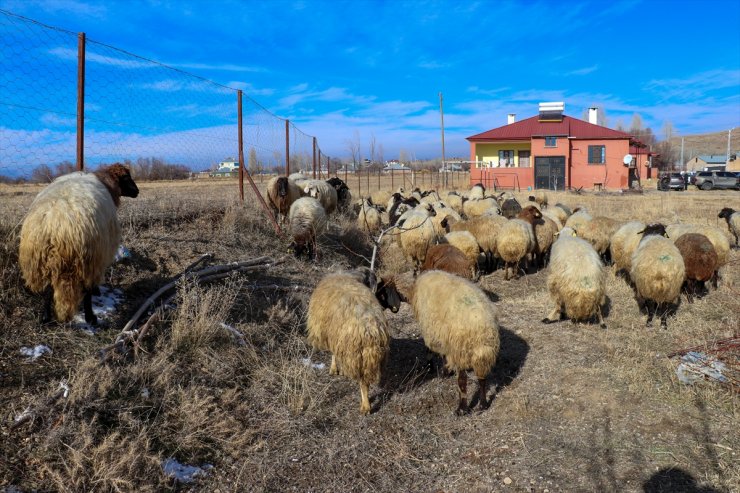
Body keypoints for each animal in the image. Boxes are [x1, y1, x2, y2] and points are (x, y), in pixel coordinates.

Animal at [18, 163, 139, 324]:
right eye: (126, 178)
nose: (137, 191)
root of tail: (55, 225)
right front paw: (97, 292)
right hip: (88, 259)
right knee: (87, 289)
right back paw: (90, 317)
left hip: (41, 260)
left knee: (48, 289)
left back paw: (46, 317)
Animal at [306, 270, 390, 414]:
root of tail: (369, 328)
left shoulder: (334, 336)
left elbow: (333, 353)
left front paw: (334, 369)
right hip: (369, 356)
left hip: (356, 352)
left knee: (363, 383)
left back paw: (365, 406)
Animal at [378, 270, 500, 414]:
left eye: (382, 292)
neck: (412, 290)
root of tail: (482, 326)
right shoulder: (442, 335)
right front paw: (445, 370)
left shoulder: (431, 331)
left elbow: (430, 349)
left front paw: (433, 368)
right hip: (483, 353)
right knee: (482, 378)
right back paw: (483, 405)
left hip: (460, 349)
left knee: (462, 380)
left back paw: (462, 409)